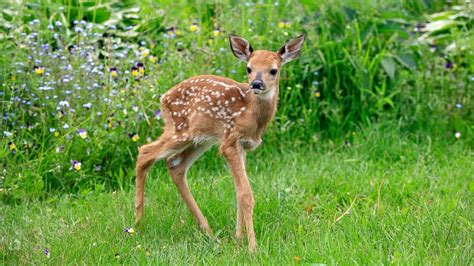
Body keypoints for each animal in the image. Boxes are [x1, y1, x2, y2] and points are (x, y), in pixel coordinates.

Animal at [135, 33, 306, 251]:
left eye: (273, 70)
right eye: (249, 68)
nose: (256, 84)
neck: (251, 114)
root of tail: (163, 98)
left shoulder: (242, 146)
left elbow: (238, 192)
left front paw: (238, 239)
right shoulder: (229, 142)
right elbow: (246, 194)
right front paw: (252, 247)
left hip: (200, 139)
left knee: (175, 165)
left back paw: (207, 231)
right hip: (180, 130)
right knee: (145, 152)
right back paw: (137, 224)